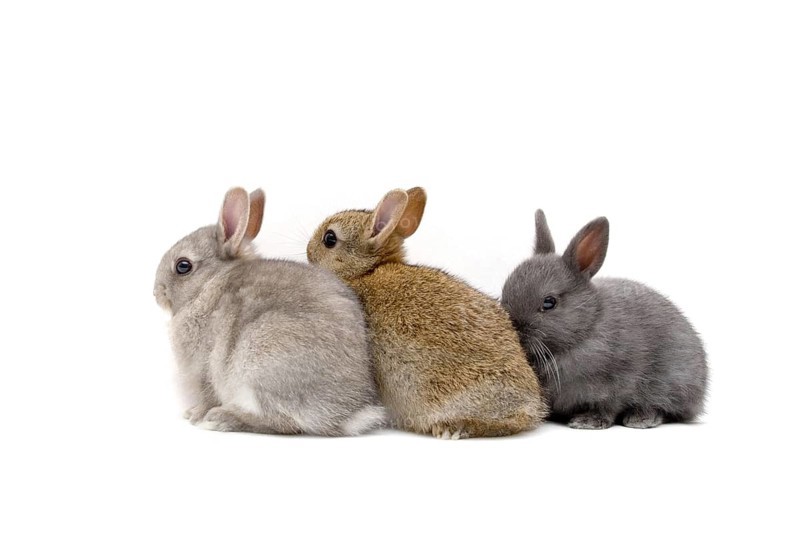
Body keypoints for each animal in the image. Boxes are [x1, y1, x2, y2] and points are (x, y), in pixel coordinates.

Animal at [153, 187, 385, 436]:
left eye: (183, 266)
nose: (156, 292)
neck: (208, 284)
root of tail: (350, 413)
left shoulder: (204, 369)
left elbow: (208, 395)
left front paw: (196, 415)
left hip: (258, 362)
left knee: (283, 421)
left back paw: (221, 418)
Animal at [501, 209, 708, 430]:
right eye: (505, 290)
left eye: (549, 302)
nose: (514, 327)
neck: (586, 330)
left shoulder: (617, 385)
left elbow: (607, 406)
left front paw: (588, 421)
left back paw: (641, 418)